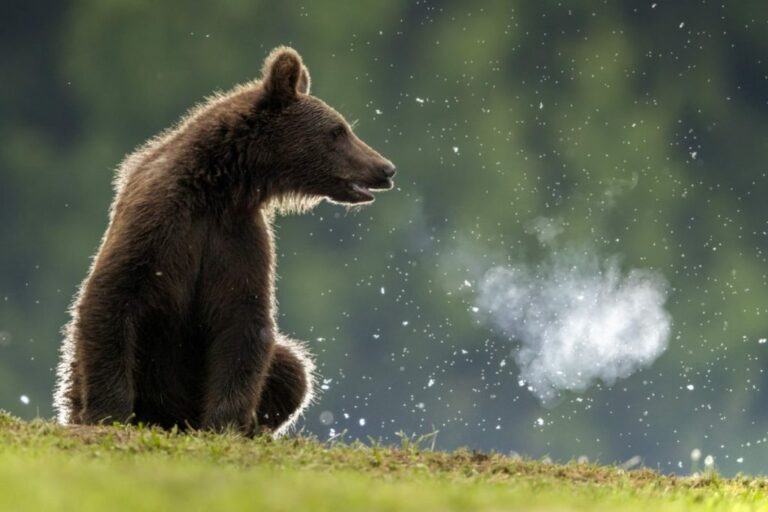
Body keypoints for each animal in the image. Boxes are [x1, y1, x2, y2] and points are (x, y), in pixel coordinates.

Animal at [53, 46, 396, 436]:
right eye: (337, 131)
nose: (385, 168)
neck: (219, 186)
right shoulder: (159, 223)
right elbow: (112, 296)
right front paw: (108, 414)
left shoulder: (236, 239)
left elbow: (243, 320)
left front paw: (227, 422)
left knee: (291, 367)